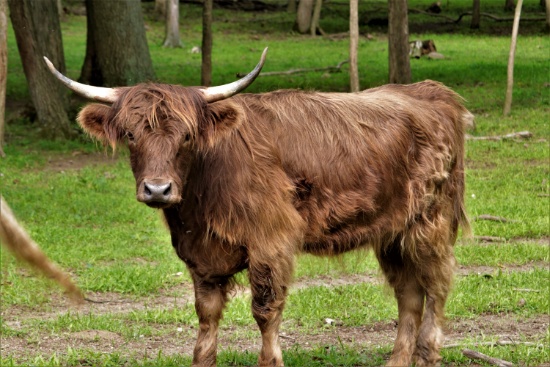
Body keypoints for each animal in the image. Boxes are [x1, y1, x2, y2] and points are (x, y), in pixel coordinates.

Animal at [45, 51, 472, 367]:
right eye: (131, 134)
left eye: (187, 136)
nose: (157, 189)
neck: (198, 203)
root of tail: (430, 92)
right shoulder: (201, 255)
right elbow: (206, 313)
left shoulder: (270, 242)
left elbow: (265, 309)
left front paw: (270, 360)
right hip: (392, 232)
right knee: (408, 294)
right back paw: (397, 360)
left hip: (429, 223)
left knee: (436, 286)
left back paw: (428, 354)